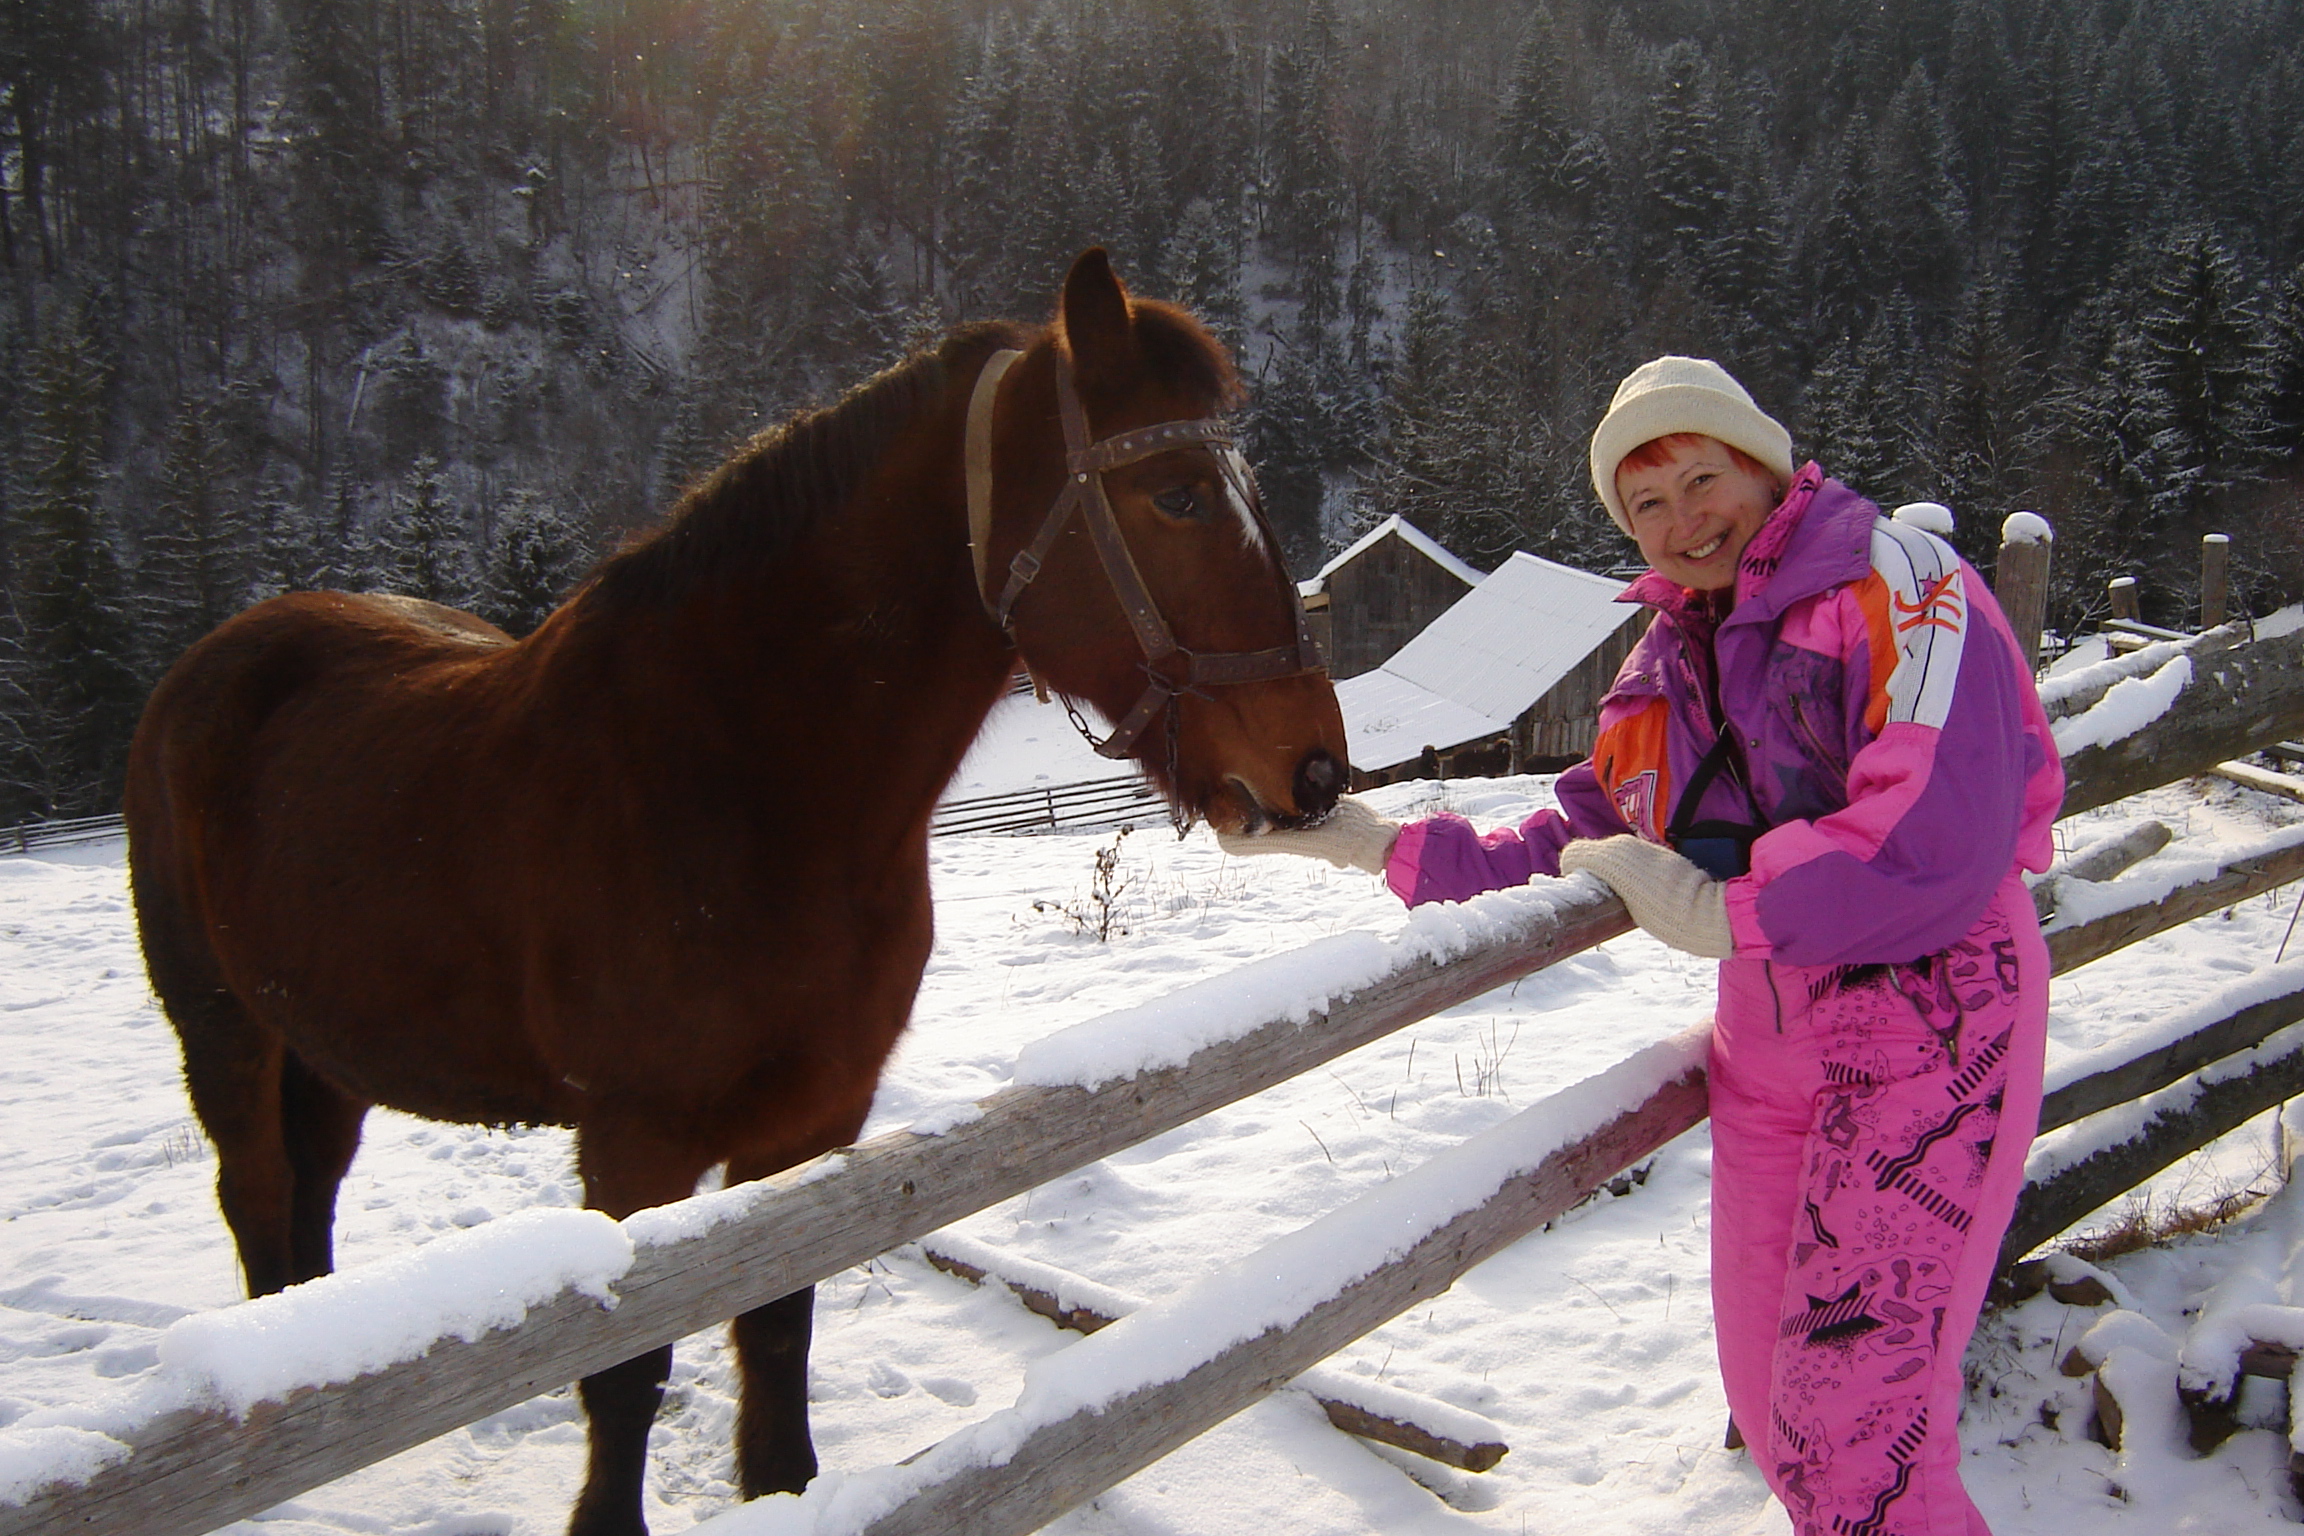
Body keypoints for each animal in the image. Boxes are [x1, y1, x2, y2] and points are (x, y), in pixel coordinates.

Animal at [123, 248, 1347, 1536]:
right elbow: (626, 1377)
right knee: (258, 1195)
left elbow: (774, 1332)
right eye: (1177, 496)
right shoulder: (636, 1146)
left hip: (329, 1048)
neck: (738, 784)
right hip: (224, 1031)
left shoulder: (810, 1124)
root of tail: (216, 662)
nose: (1314, 769)